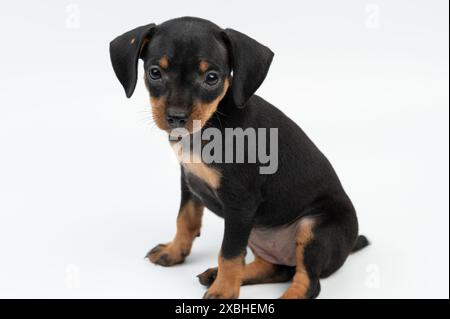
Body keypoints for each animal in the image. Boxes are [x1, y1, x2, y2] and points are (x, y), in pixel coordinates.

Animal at [110, 16, 370, 300]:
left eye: (212, 78)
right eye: (155, 72)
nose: (176, 117)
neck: (210, 125)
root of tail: (348, 247)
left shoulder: (240, 203)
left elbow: (230, 252)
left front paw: (223, 291)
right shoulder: (188, 180)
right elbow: (185, 220)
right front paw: (174, 252)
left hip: (312, 229)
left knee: (308, 282)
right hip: (257, 231)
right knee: (276, 268)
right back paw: (217, 274)